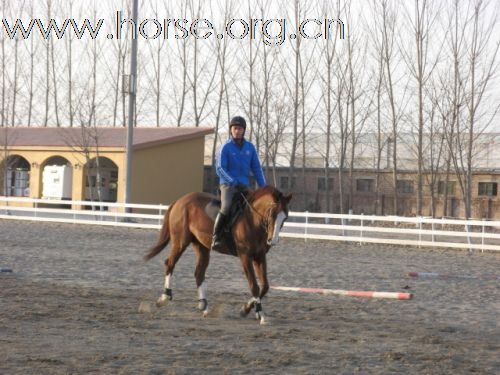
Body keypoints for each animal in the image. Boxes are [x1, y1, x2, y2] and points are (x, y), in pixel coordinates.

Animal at [145, 187, 292, 324]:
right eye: (272, 214)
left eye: (285, 217)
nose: (272, 240)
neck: (252, 220)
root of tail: (180, 200)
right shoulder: (245, 256)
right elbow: (254, 286)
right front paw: (260, 315)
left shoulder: (260, 256)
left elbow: (265, 286)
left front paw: (247, 309)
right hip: (180, 242)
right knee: (170, 263)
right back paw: (164, 298)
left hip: (201, 246)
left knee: (199, 273)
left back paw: (204, 307)